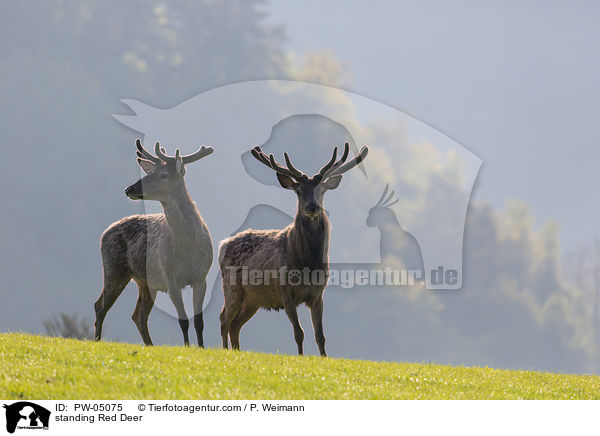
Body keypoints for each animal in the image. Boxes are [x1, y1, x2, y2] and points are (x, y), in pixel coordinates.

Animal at [95, 140, 214, 348]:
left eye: (163, 175)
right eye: (150, 172)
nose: (129, 189)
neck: (188, 247)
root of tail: (106, 231)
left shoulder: (201, 277)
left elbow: (199, 321)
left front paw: (201, 348)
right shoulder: (170, 278)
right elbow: (183, 321)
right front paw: (187, 347)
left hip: (144, 281)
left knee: (138, 315)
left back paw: (150, 345)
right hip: (113, 268)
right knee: (100, 306)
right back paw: (97, 341)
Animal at [218, 141, 368, 356]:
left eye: (322, 190)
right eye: (298, 191)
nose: (312, 207)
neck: (307, 265)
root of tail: (223, 244)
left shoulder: (318, 293)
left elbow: (320, 335)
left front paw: (324, 358)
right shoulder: (285, 290)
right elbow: (299, 333)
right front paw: (301, 357)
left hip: (253, 298)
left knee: (235, 325)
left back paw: (237, 351)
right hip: (232, 286)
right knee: (224, 319)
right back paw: (225, 350)